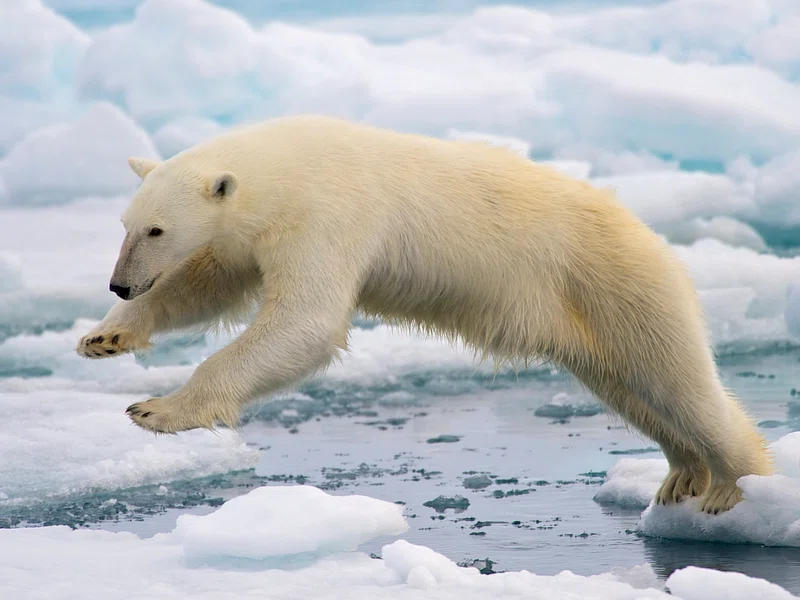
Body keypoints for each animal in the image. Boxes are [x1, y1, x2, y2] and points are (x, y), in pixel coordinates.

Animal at [78, 115, 772, 512]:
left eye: (157, 229)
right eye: (126, 224)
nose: (119, 284)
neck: (287, 166)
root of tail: (650, 235)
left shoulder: (330, 214)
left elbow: (306, 321)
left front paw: (157, 409)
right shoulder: (253, 233)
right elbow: (209, 283)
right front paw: (105, 337)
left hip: (615, 282)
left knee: (677, 381)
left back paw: (734, 487)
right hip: (586, 318)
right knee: (632, 389)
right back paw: (682, 475)